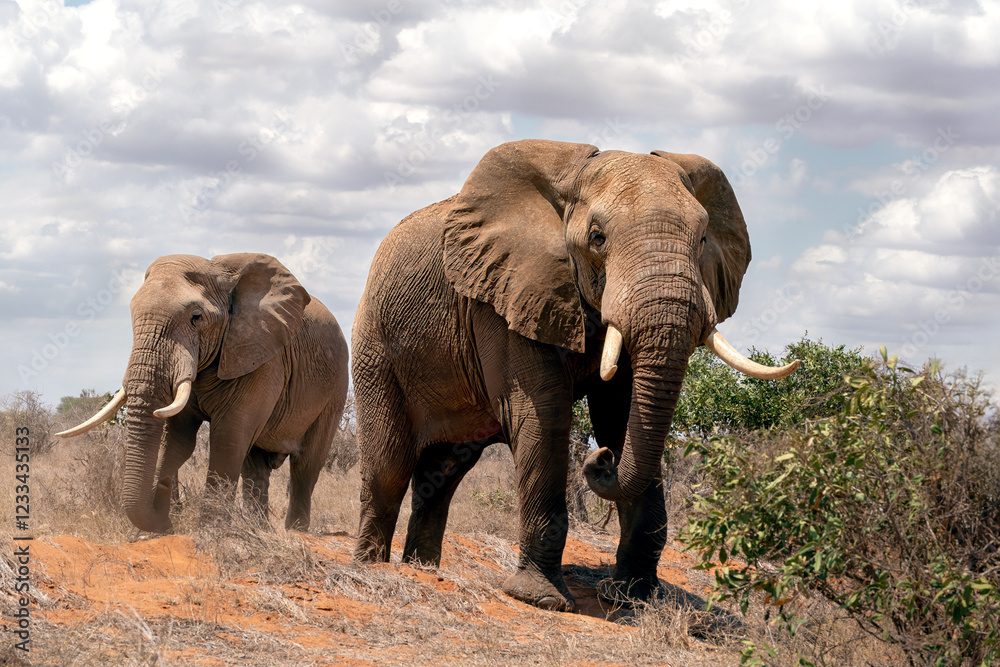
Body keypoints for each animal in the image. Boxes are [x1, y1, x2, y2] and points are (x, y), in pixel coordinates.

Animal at [58, 253, 349, 534]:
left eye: (195, 317)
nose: (165, 514)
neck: (221, 272)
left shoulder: (263, 358)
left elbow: (229, 437)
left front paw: (210, 534)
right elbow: (178, 439)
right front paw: (156, 527)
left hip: (335, 389)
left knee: (307, 463)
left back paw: (295, 531)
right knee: (255, 466)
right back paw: (259, 530)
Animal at [350, 139, 798, 612]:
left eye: (703, 239)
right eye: (597, 238)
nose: (600, 458)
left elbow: (623, 414)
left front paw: (633, 598)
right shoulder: (504, 294)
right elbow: (544, 410)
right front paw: (541, 600)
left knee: (442, 474)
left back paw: (422, 570)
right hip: (375, 347)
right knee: (389, 467)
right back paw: (371, 567)